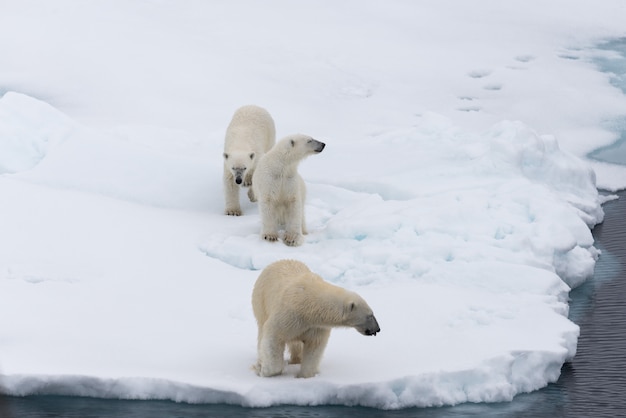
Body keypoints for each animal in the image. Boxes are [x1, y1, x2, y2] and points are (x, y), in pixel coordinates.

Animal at [250, 260, 378, 378]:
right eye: (370, 315)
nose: (377, 329)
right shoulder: (289, 315)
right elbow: (274, 337)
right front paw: (262, 371)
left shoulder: (316, 326)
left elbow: (314, 348)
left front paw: (304, 376)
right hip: (261, 301)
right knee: (262, 332)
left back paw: (296, 360)